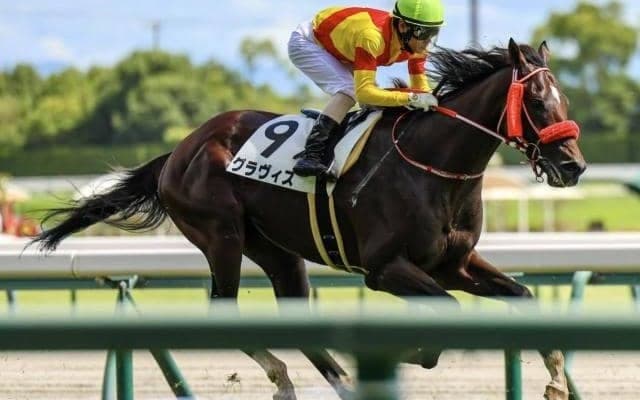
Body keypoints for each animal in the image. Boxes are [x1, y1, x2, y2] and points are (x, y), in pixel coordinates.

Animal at [32, 38, 585, 400]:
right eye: (538, 101)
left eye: (565, 98)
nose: (574, 166)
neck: (433, 164)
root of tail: (178, 151)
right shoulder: (385, 270)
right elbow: (443, 317)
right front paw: (409, 354)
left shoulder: (455, 264)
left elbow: (524, 295)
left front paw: (556, 380)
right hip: (222, 235)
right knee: (223, 308)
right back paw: (284, 374)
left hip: (277, 251)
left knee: (296, 316)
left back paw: (337, 381)